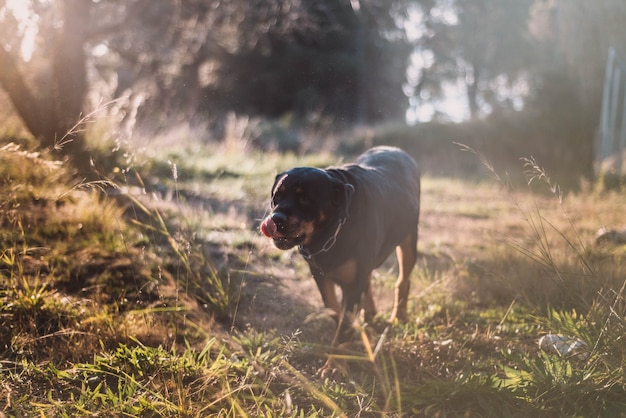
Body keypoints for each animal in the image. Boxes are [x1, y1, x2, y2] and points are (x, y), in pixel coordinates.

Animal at [258, 145, 420, 338]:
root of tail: (395, 149)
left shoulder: (353, 284)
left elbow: (345, 320)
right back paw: (370, 311)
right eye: (277, 196)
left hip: (409, 239)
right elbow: (333, 308)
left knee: (403, 280)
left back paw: (399, 316)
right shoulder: (319, 274)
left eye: (305, 199)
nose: (276, 219)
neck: (331, 232)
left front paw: (341, 344)